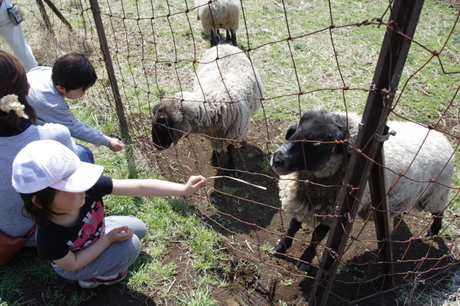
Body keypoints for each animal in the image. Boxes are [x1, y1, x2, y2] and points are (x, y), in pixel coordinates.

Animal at [152, 44, 262, 176]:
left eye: (163, 126)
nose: (156, 145)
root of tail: (224, 45)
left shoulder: (232, 133)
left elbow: (230, 151)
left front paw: (232, 167)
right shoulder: (213, 135)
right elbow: (215, 148)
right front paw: (214, 159)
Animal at [272, 109, 454, 270]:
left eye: (320, 144)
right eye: (296, 129)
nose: (278, 159)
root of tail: (441, 137)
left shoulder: (334, 213)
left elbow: (317, 237)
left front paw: (305, 259)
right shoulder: (302, 201)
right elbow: (293, 226)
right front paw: (281, 247)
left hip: (436, 192)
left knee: (439, 210)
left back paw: (433, 230)